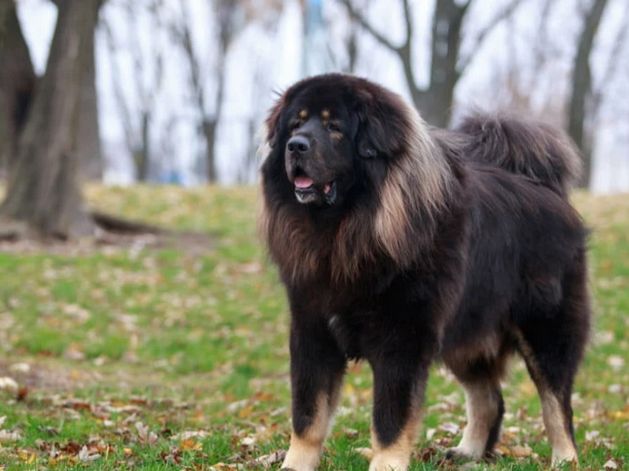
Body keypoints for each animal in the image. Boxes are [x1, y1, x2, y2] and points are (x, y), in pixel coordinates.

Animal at [256, 72, 588, 470]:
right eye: (296, 124)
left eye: (334, 127)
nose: (296, 146)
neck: (344, 232)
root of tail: (546, 190)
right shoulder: (313, 331)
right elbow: (308, 415)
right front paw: (295, 464)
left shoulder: (402, 339)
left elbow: (390, 420)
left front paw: (386, 464)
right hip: (465, 334)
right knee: (489, 398)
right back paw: (468, 452)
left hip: (544, 331)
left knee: (557, 405)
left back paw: (565, 459)